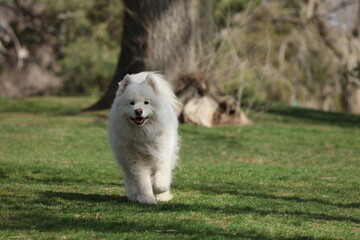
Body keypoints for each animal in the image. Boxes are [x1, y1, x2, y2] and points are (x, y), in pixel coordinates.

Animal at [107, 71, 179, 204]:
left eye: (146, 102)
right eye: (131, 103)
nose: (138, 111)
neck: (143, 134)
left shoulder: (163, 155)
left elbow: (162, 180)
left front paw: (158, 188)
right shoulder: (135, 160)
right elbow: (142, 182)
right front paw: (147, 198)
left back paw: (163, 196)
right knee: (132, 180)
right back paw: (136, 196)